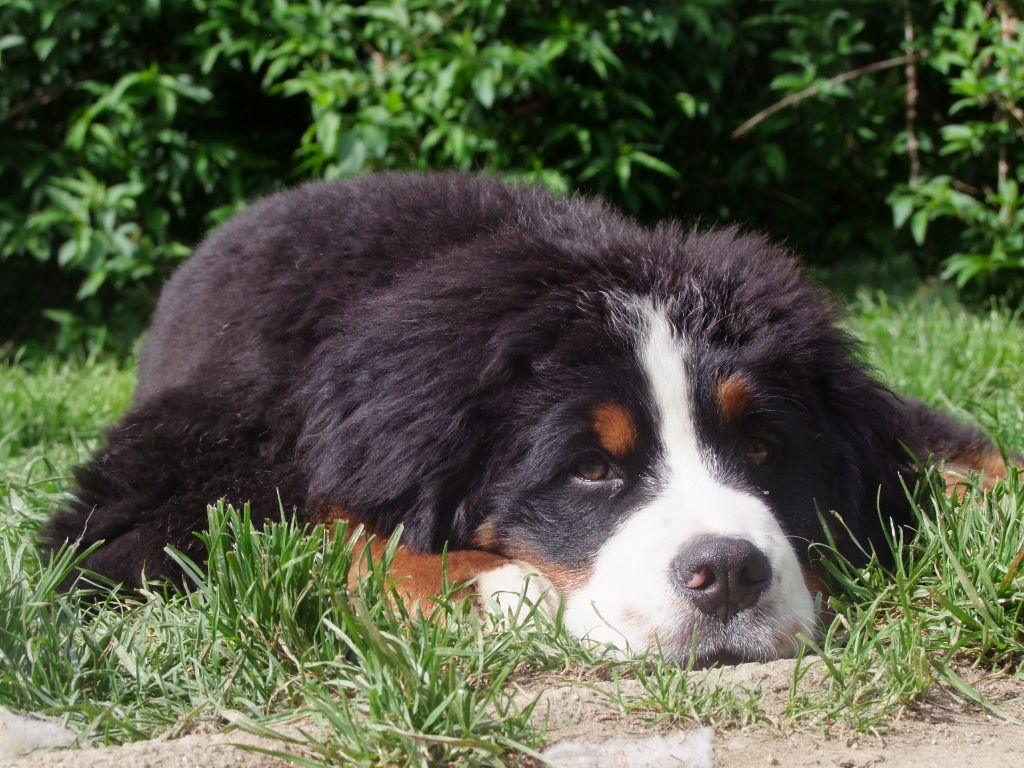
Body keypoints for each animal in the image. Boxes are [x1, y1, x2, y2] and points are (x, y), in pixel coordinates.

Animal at [44, 173, 1011, 667]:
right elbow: (305, 530)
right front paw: (498, 587)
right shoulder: (165, 490)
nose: (730, 574)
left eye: (765, 449)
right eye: (591, 466)